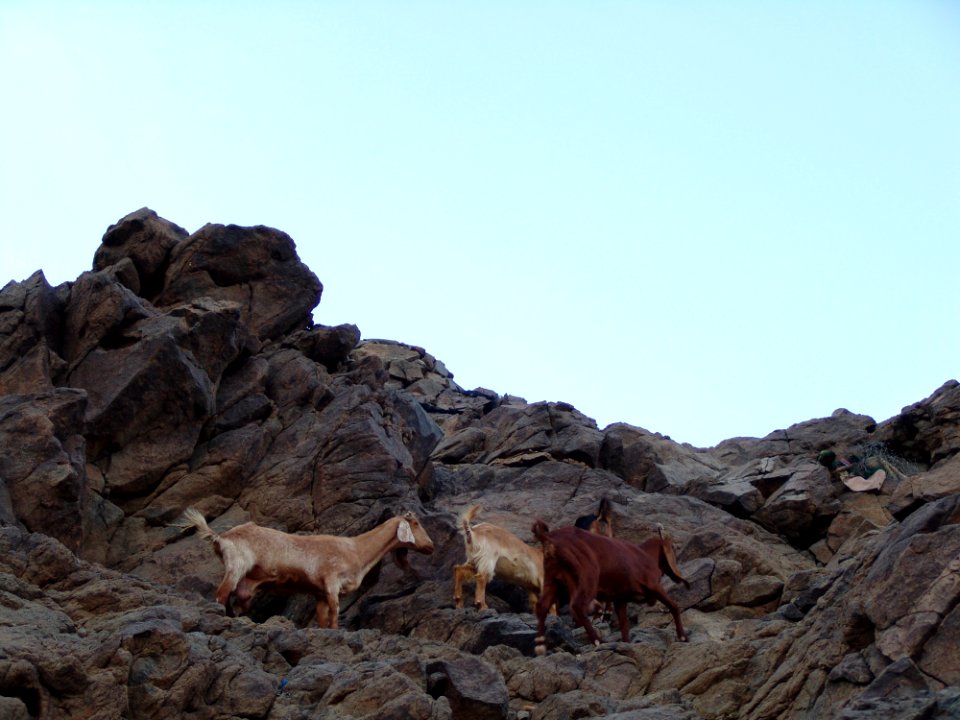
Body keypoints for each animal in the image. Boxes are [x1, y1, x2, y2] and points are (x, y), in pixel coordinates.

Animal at [177, 504, 436, 628]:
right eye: (415, 523)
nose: (431, 546)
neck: (356, 549)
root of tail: (221, 536)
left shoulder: (319, 593)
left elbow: (322, 618)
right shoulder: (331, 583)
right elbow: (334, 615)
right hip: (236, 566)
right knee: (221, 595)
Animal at [532, 520, 688, 656]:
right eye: (673, 547)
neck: (647, 555)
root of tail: (550, 538)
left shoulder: (620, 599)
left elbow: (624, 624)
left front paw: (626, 644)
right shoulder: (654, 586)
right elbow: (674, 606)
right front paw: (682, 637)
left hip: (553, 579)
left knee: (542, 606)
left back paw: (540, 644)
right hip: (588, 577)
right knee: (576, 606)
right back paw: (597, 640)